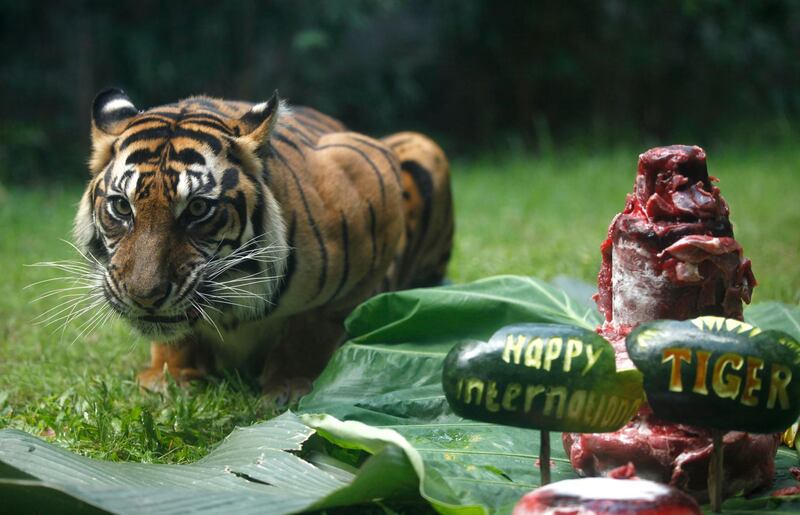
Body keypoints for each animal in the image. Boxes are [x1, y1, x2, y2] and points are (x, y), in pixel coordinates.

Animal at [73, 87, 456, 404]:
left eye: (197, 209)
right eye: (122, 206)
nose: (145, 297)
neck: (228, 305)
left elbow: (313, 326)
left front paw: (288, 385)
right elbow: (175, 335)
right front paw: (170, 378)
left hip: (421, 145)